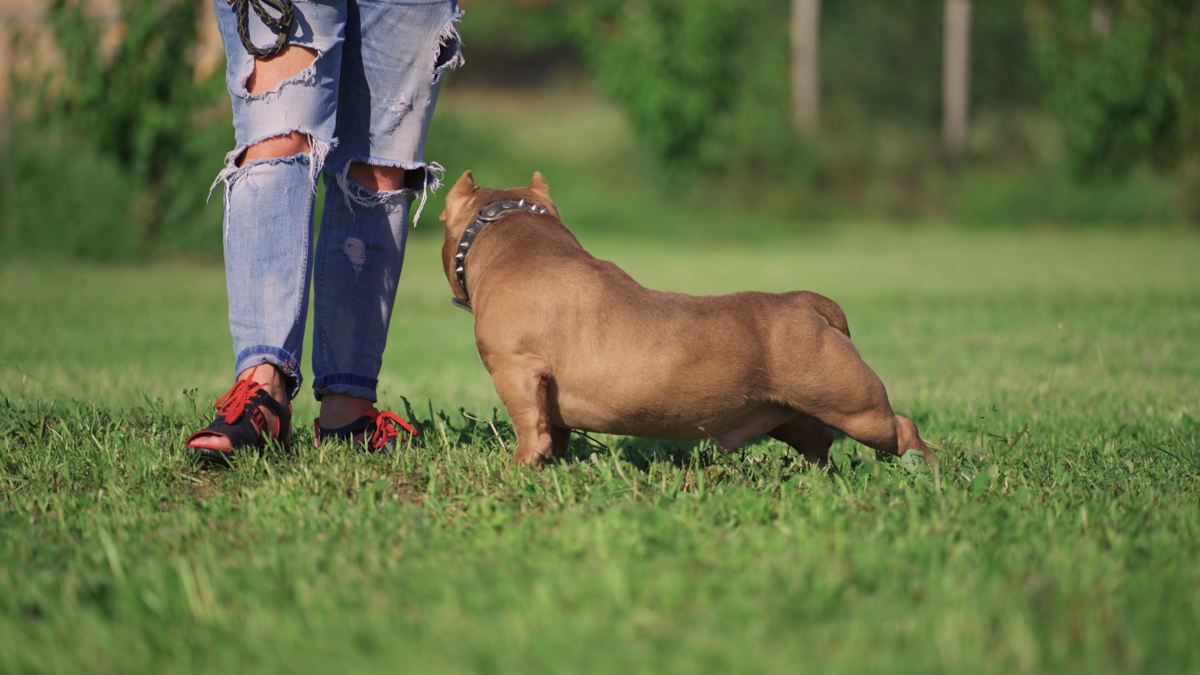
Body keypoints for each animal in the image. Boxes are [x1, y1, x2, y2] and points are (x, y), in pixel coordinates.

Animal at [436, 170, 931, 466]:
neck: (518, 236)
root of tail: (804, 302)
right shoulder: (549, 395)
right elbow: (552, 432)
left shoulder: (516, 371)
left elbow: (529, 427)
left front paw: (521, 466)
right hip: (788, 412)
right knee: (818, 440)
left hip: (857, 409)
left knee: (901, 429)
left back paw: (924, 471)